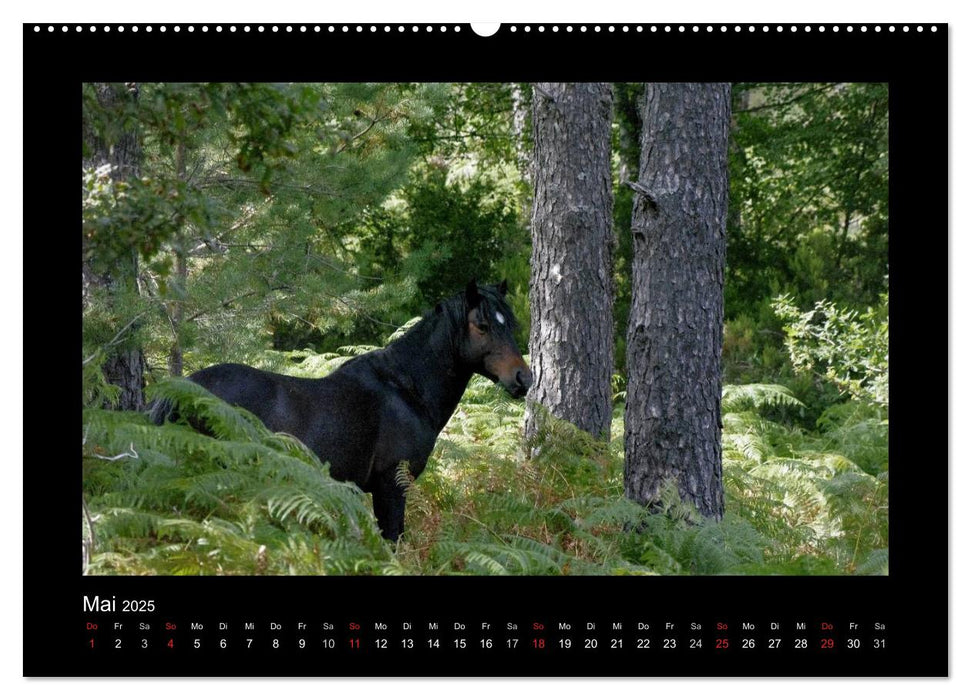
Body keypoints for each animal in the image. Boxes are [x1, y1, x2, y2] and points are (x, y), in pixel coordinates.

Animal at [153, 278, 532, 540]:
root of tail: (181, 389)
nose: (523, 378)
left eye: (510, 324)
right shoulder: (391, 486)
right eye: (482, 326)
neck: (406, 389)